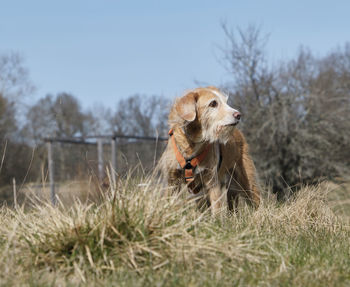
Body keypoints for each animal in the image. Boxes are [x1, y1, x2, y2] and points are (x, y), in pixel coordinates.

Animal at [159, 86, 260, 215]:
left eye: (226, 102)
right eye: (213, 103)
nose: (238, 115)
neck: (191, 145)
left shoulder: (212, 181)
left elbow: (216, 209)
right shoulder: (171, 181)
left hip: (246, 181)